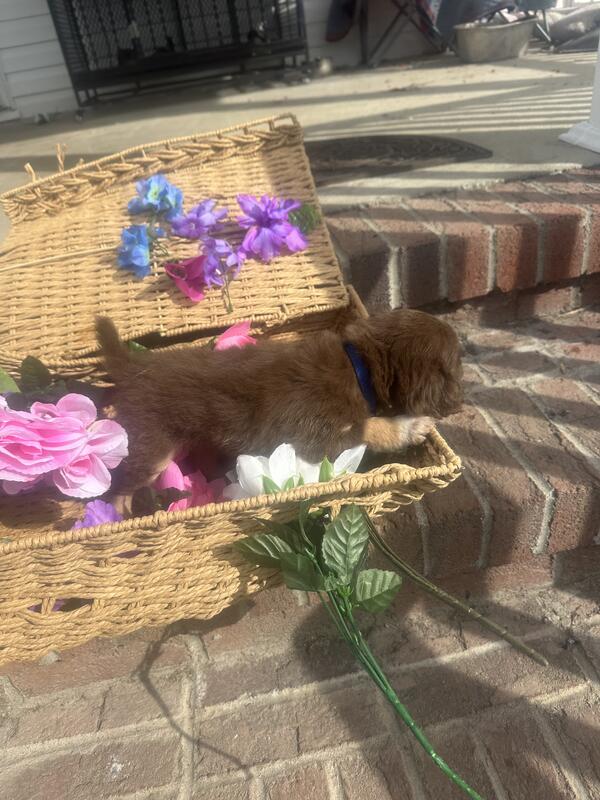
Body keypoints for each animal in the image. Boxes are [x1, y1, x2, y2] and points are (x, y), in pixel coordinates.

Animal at [96, 308, 462, 511]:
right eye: (456, 363)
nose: (460, 399)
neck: (359, 366)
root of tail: (134, 366)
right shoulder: (317, 434)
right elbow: (369, 427)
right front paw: (411, 426)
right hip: (152, 447)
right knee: (119, 488)